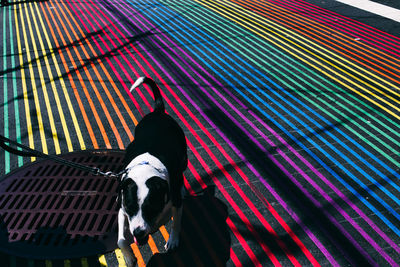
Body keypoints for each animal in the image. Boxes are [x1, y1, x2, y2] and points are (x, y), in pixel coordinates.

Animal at [117, 77, 188, 266]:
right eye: (131, 207)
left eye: (151, 207)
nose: (138, 232)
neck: (145, 169)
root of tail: (158, 111)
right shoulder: (121, 206)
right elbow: (121, 240)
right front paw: (129, 256)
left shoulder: (174, 202)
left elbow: (176, 222)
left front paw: (173, 240)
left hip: (183, 157)